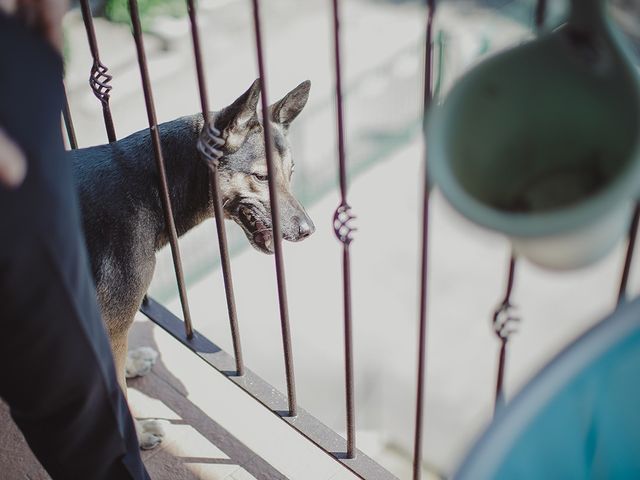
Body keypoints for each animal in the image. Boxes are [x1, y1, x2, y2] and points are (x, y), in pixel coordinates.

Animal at [69, 79, 316, 450]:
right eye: (261, 177)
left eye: (291, 173)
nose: (307, 230)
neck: (151, 186)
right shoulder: (111, 323)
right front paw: (136, 435)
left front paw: (129, 364)